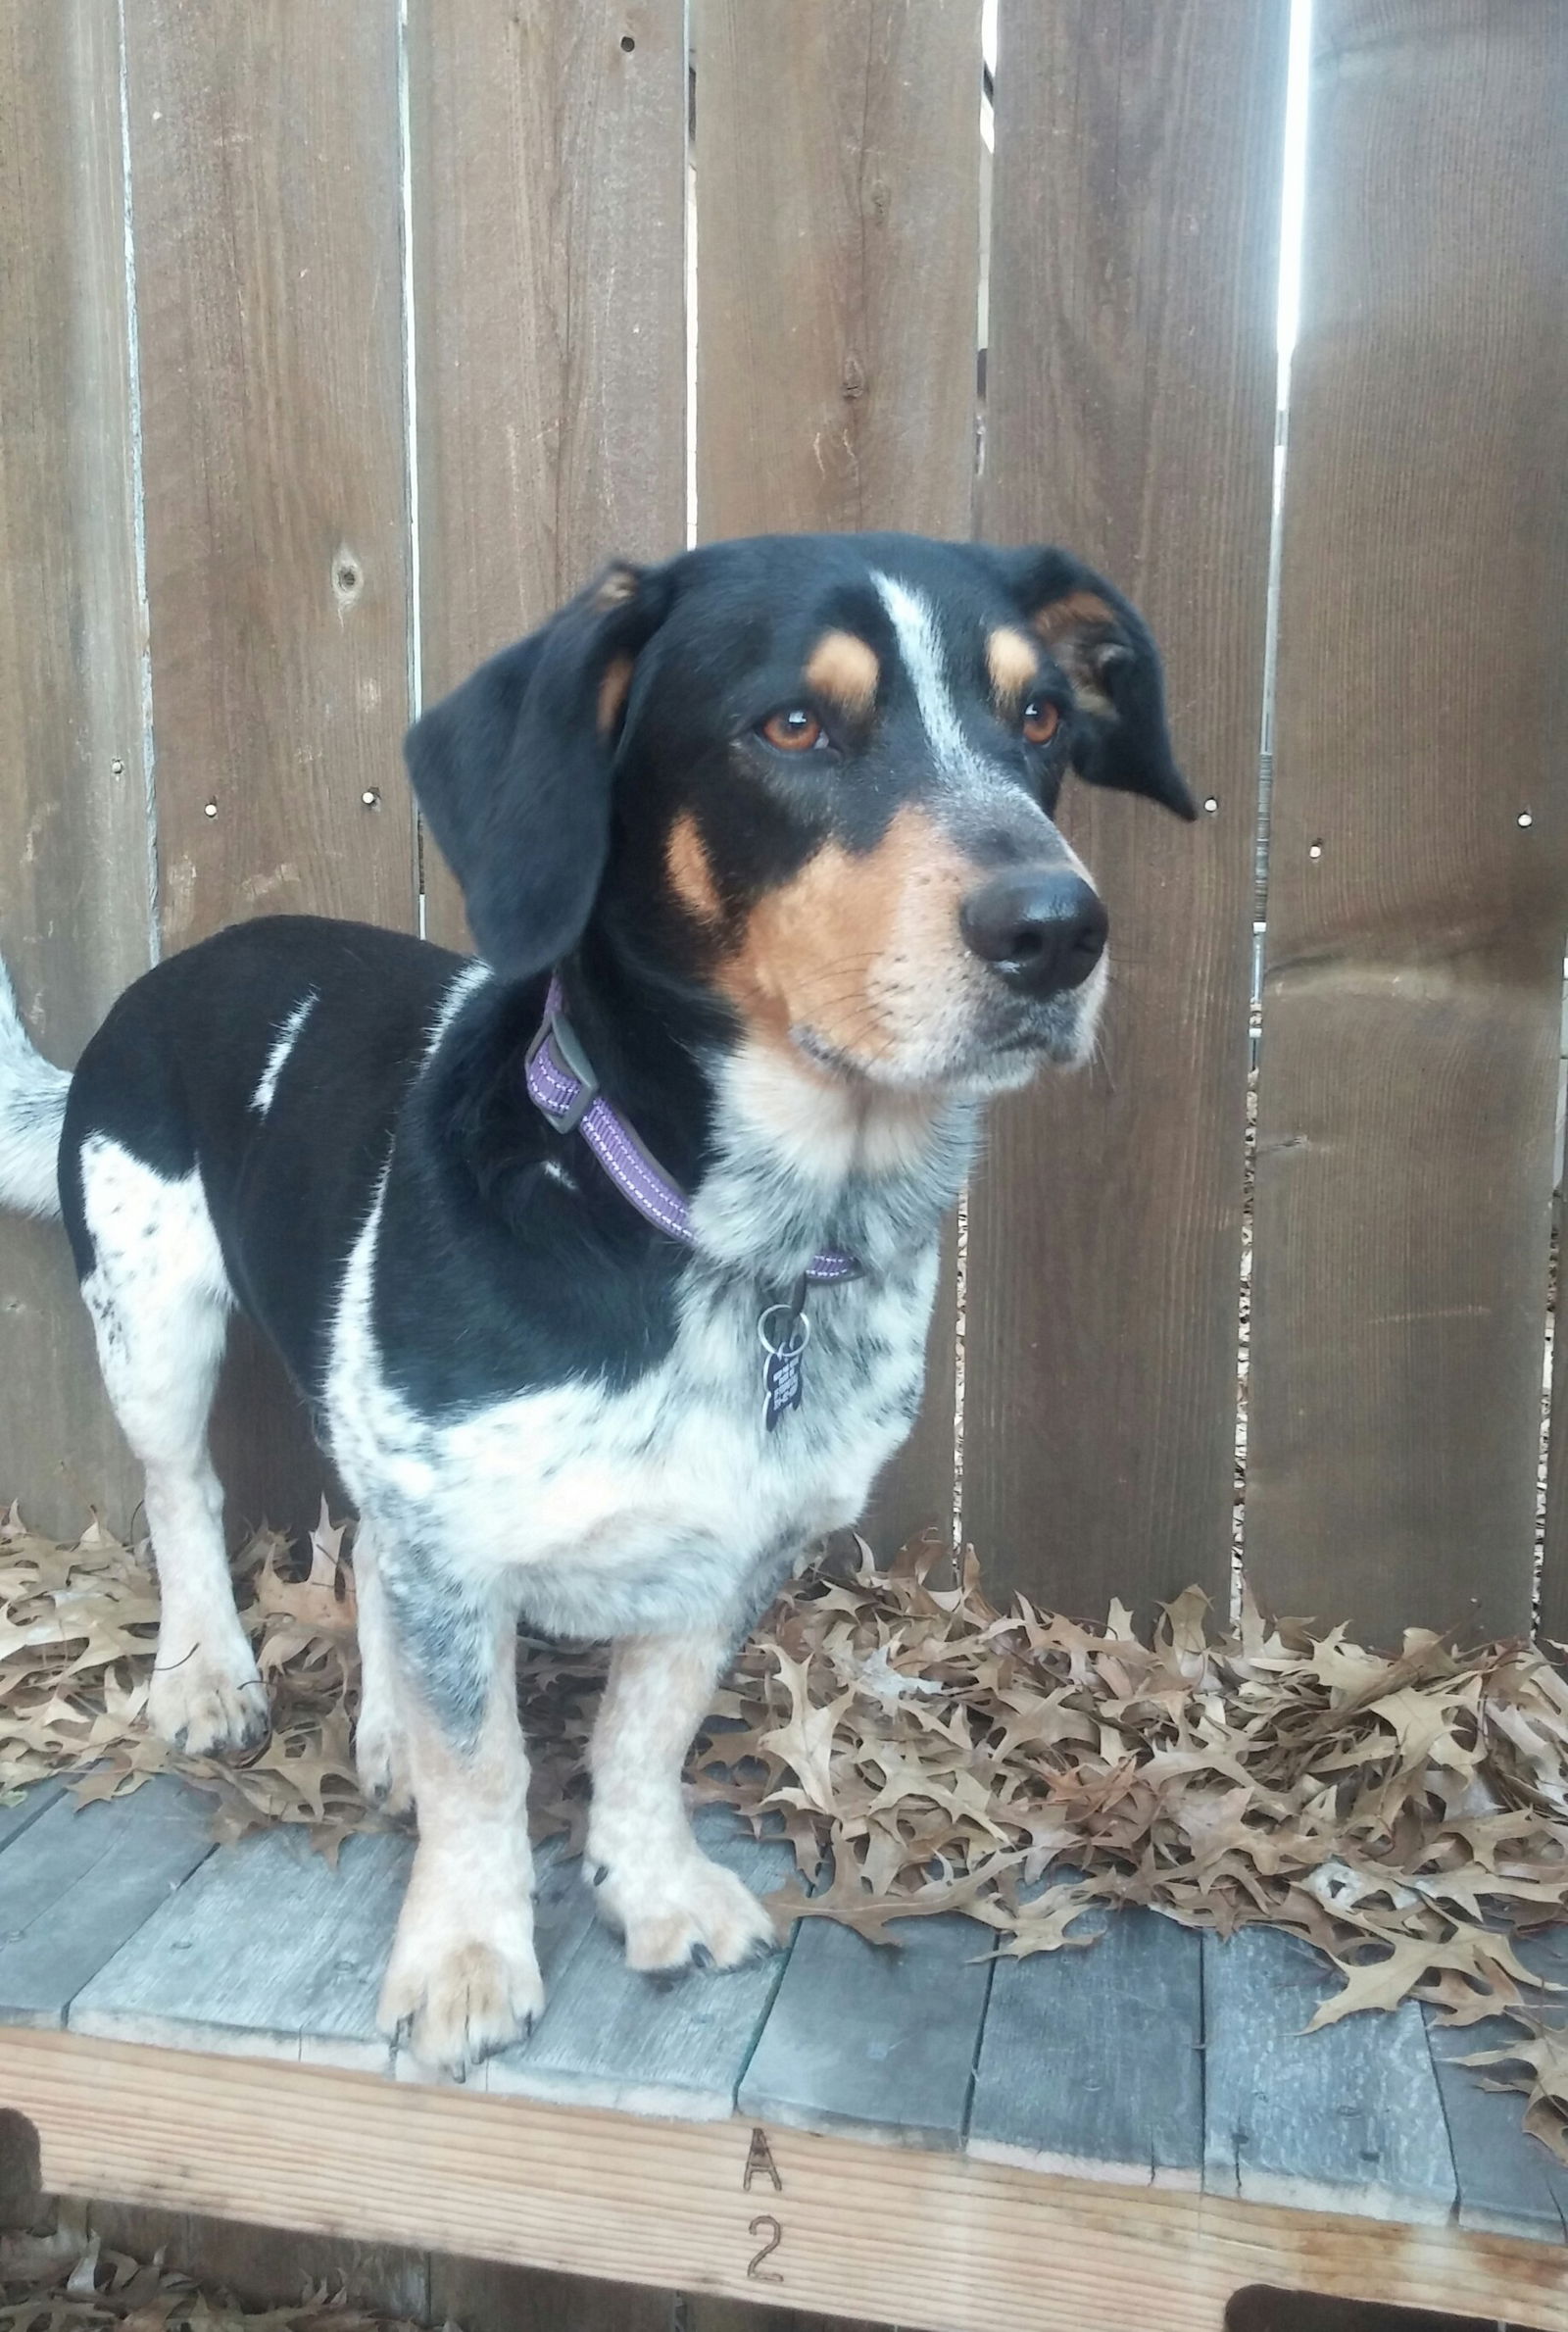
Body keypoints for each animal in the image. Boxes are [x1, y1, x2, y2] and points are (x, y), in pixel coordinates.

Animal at [0, 536, 1188, 2070]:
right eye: (790, 725)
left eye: (1038, 716)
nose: (1057, 927)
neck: (734, 1242)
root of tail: (168, 971)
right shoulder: (457, 1525)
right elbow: (485, 1764)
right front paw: (463, 1952)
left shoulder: (730, 1548)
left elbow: (641, 1737)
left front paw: (653, 1886)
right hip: (152, 1315)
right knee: (180, 1493)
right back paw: (205, 1674)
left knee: (366, 1549)